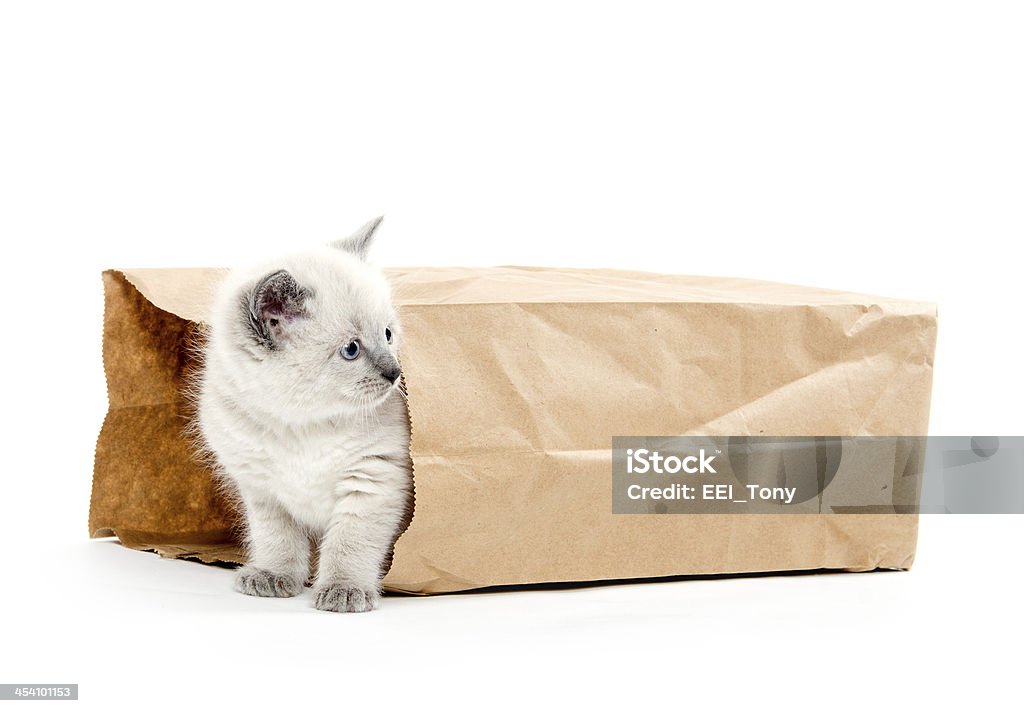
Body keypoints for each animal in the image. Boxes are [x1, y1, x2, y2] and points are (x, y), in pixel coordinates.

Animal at [195, 217, 411, 614]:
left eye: (388, 334)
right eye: (351, 349)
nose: (395, 373)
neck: (302, 425)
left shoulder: (372, 481)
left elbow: (349, 544)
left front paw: (344, 590)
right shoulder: (263, 491)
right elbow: (277, 540)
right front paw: (273, 576)